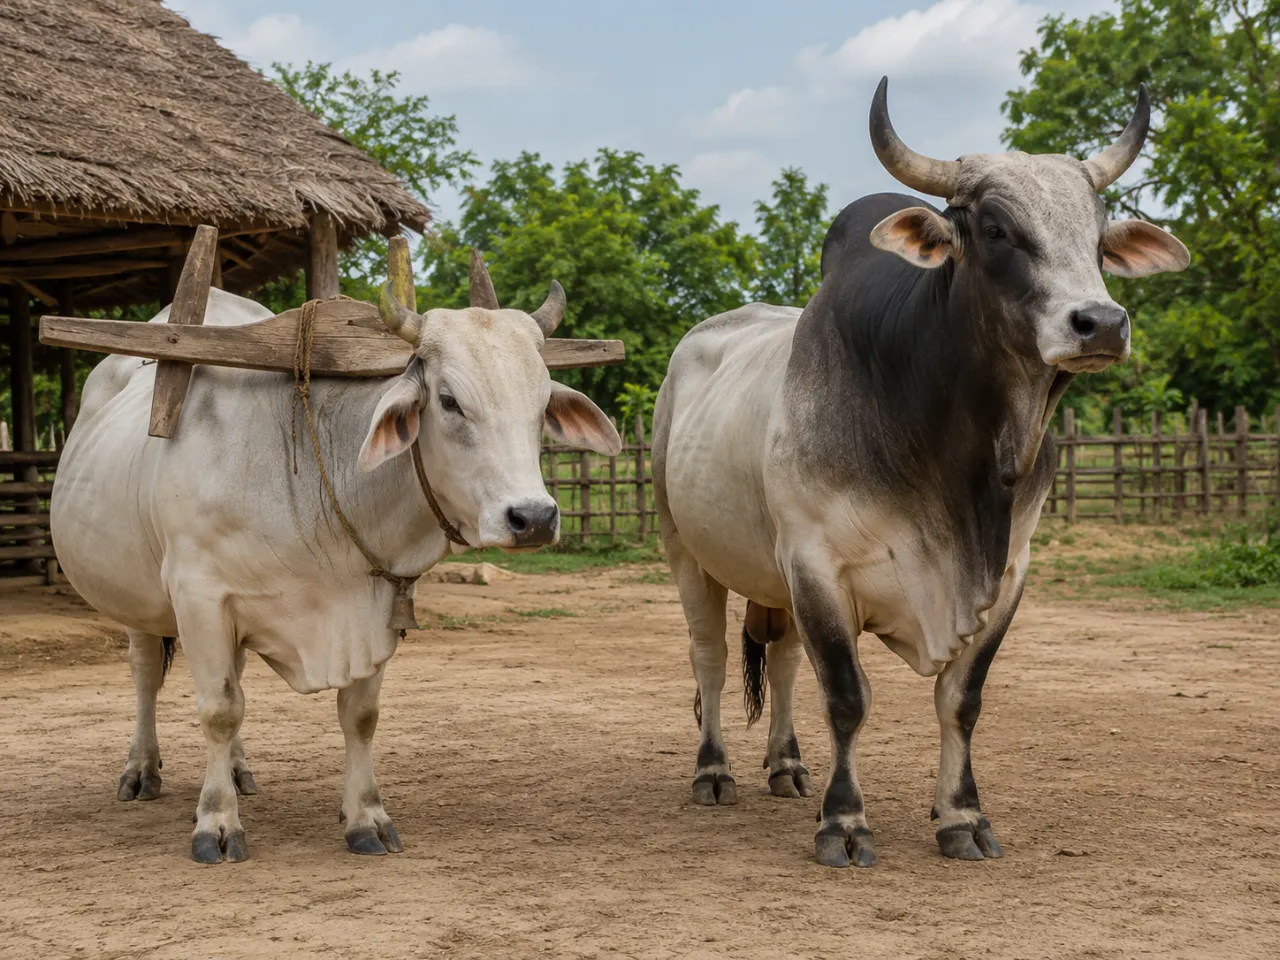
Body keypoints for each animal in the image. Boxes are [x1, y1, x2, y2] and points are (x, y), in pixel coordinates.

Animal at [50, 260, 621, 863]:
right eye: (448, 401)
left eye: (541, 406)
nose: (533, 517)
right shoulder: (199, 596)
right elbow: (219, 709)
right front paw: (216, 823)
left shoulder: (373, 606)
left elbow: (358, 716)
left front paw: (366, 816)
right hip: (136, 596)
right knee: (145, 674)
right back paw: (141, 769)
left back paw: (238, 769)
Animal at [652, 78, 1189, 867]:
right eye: (995, 228)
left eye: (1098, 234)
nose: (1101, 323)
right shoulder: (816, 563)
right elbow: (847, 697)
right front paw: (845, 823)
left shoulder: (1008, 571)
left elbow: (960, 700)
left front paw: (961, 816)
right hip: (687, 551)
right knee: (712, 659)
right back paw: (714, 771)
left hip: (771, 574)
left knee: (783, 662)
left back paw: (786, 766)